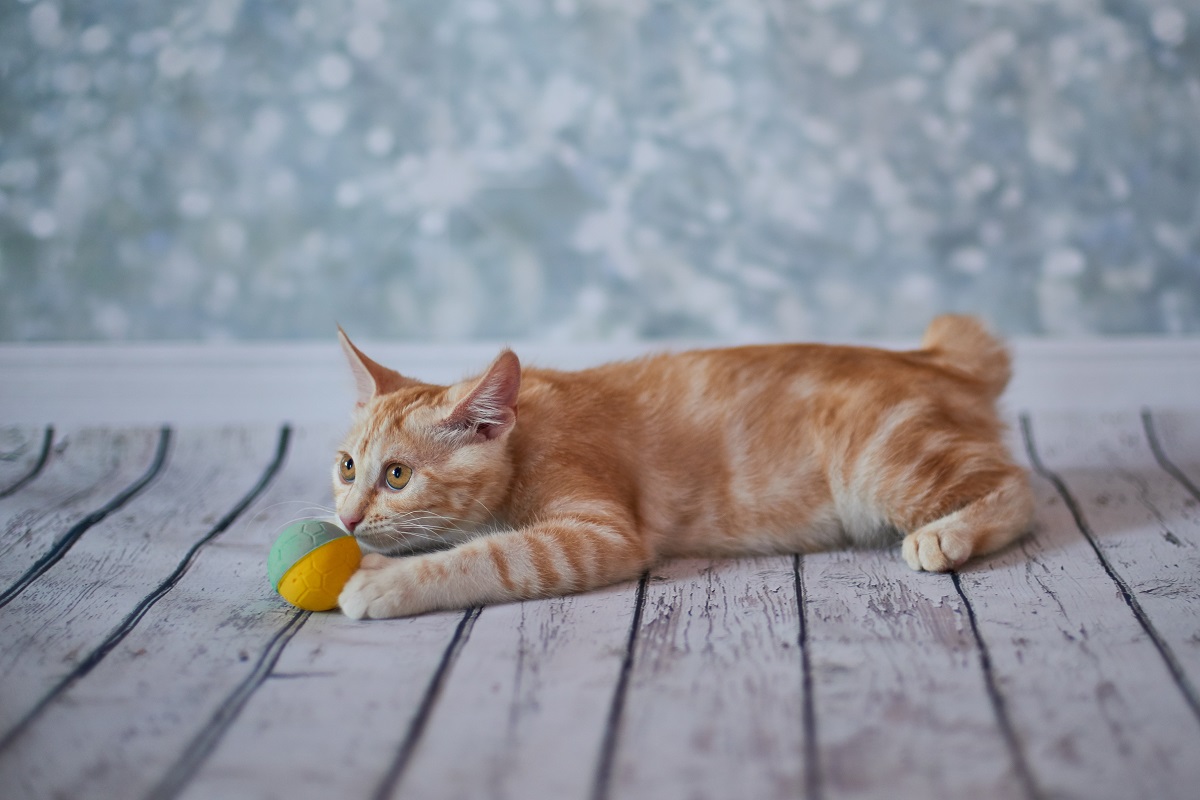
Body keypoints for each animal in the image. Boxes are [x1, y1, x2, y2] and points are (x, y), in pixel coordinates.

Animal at [333, 316, 1036, 623]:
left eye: (396, 476)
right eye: (345, 467)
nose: (347, 518)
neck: (525, 436)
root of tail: (934, 359)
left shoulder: (598, 534)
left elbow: (492, 555)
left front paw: (387, 581)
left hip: (883, 466)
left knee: (1023, 490)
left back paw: (948, 534)